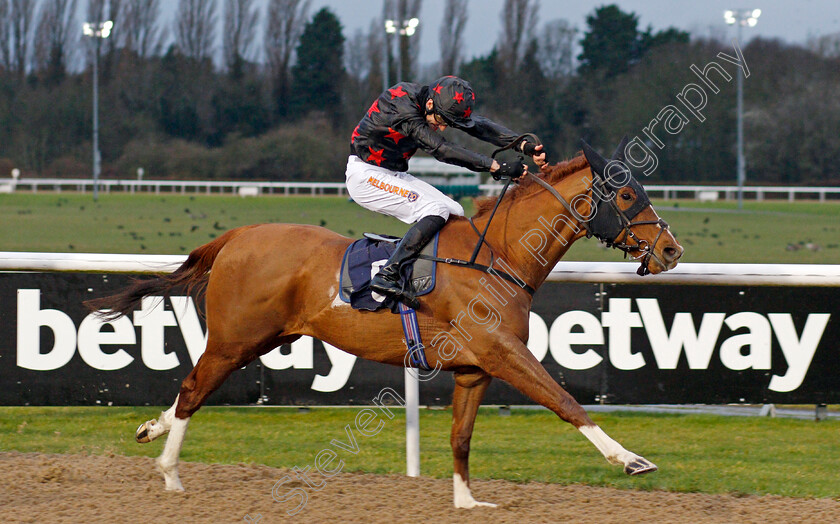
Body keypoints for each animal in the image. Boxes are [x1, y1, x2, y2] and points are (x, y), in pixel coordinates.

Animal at [87, 137, 684, 510]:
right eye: (626, 194)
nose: (671, 250)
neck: (498, 257)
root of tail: (239, 234)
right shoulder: (503, 353)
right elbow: (565, 402)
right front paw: (630, 459)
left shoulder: (475, 368)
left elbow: (461, 436)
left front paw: (467, 500)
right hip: (235, 338)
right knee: (193, 389)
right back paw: (169, 471)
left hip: (266, 338)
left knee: (195, 389)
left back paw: (151, 428)